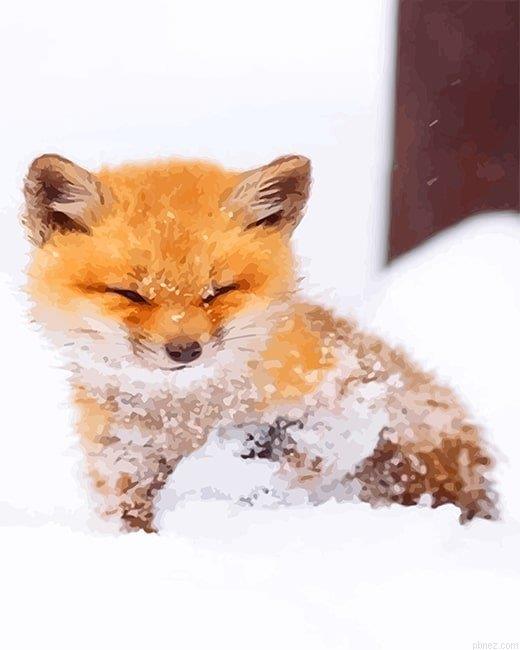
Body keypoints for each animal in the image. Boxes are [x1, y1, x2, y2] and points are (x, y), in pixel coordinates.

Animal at [22, 152, 498, 532]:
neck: (188, 418)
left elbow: (308, 457)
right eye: (130, 294)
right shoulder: (123, 474)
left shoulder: (350, 399)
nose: (184, 350)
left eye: (219, 291)